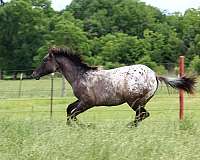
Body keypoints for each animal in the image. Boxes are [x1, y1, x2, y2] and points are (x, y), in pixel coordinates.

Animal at [32, 47, 196, 127]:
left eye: (45, 60)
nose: (34, 74)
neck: (81, 76)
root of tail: (155, 75)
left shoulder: (87, 103)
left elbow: (73, 114)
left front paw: (85, 126)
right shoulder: (81, 101)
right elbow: (69, 110)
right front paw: (77, 126)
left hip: (134, 102)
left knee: (143, 115)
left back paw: (127, 127)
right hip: (139, 103)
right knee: (141, 116)